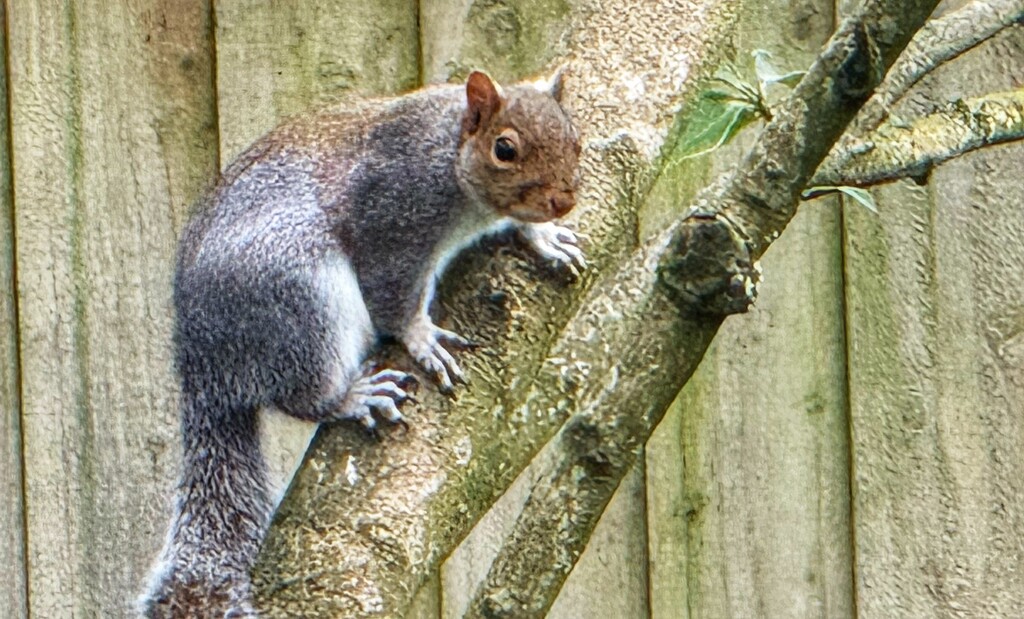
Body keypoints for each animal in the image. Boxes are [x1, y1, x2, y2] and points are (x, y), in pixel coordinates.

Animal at [140, 68, 585, 619]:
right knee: (302, 394)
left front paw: (542, 235)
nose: (563, 201)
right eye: (505, 149)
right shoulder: (391, 218)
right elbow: (392, 296)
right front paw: (420, 338)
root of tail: (202, 364)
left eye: (576, 139)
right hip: (302, 300)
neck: (447, 153)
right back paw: (352, 397)